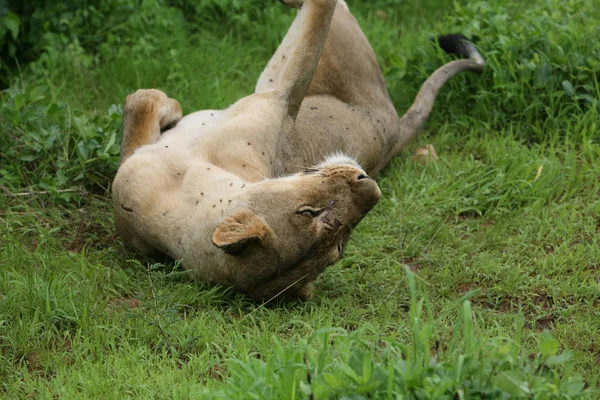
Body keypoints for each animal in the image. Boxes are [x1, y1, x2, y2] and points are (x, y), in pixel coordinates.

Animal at [111, 0, 482, 300]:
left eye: (341, 244)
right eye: (309, 213)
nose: (370, 186)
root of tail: (393, 132)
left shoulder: (280, 98)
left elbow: (143, 99)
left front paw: (168, 107)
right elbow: (142, 101)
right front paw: (169, 109)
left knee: (330, 9)